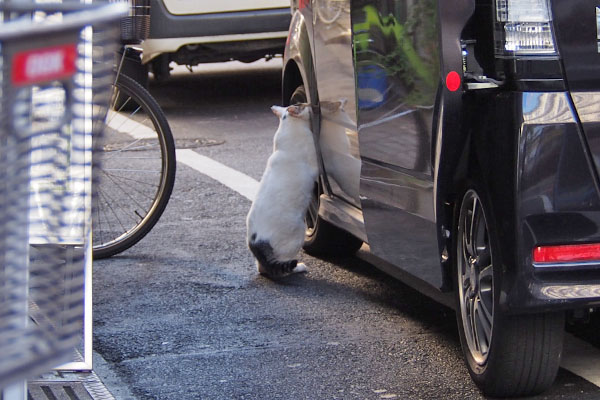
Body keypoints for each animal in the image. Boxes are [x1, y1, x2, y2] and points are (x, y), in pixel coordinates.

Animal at [246, 104, 318, 278]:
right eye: (303, 104)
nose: (310, 105)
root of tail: (257, 243)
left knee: (263, 269)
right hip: (298, 232)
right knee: (281, 267)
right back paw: (298, 268)